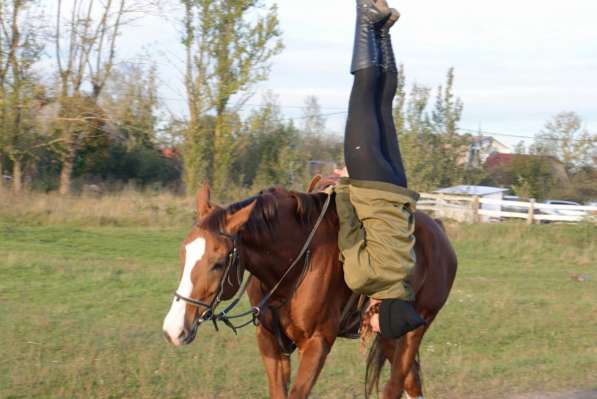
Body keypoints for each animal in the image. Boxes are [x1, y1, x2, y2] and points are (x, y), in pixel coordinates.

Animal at [162, 184, 456, 399]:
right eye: (183, 253)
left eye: (219, 262)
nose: (173, 330)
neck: (292, 267)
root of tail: (439, 230)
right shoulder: (270, 341)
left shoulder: (317, 343)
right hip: (389, 334)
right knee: (412, 381)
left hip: (416, 328)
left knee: (395, 385)